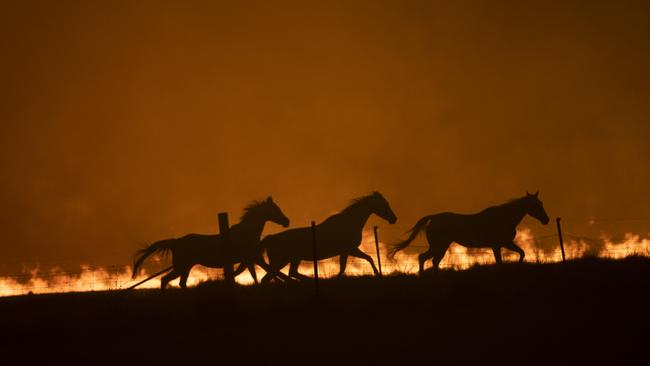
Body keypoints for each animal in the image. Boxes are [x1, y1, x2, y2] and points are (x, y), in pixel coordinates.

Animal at [132, 197, 288, 288]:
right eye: (275, 209)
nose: (287, 221)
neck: (245, 234)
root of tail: (176, 242)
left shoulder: (248, 260)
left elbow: (255, 275)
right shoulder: (254, 258)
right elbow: (267, 272)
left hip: (186, 267)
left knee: (180, 283)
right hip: (180, 267)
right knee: (165, 280)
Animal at [260, 192, 394, 284]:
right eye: (384, 204)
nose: (394, 219)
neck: (349, 223)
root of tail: (270, 238)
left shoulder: (346, 251)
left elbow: (345, 267)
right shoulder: (350, 249)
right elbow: (367, 259)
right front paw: (377, 273)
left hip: (292, 260)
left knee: (286, 274)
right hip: (282, 261)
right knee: (272, 277)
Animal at [388, 192, 548, 274]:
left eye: (541, 203)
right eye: (536, 204)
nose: (546, 220)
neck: (503, 217)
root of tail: (433, 218)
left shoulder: (504, 244)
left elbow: (521, 253)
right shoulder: (499, 244)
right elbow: (503, 260)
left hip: (442, 246)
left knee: (433, 261)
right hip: (438, 245)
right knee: (424, 258)